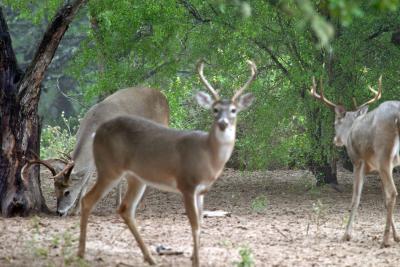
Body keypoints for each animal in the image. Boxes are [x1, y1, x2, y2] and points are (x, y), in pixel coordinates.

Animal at [22, 87, 169, 217]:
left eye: (67, 192)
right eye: (55, 190)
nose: (59, 212)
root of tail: (163, 97)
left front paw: (117, 204)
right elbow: (86, 181)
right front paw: (77, 210)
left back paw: (141, 203)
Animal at [76, 59, 256, 266]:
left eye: (234, 110)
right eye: (215, 109)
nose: (223, 123)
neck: (208, 154)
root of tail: (97, 132)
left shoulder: (202, 190)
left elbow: (201, 223)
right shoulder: (186, 184)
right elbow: (194, 224)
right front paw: (195, 261)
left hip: (136, 177)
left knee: (125, 209)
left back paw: (150, 258)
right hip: (109, 168)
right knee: (88, 199)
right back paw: (81, 253)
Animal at [310, 76, 400, 248]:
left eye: (335, 123)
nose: (335, 140)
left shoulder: (358, 161)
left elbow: (355, 198)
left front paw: (346, 234)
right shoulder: (382, 168)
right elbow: (384, 200)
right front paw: (397, 236)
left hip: (383, 152)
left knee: (393, 192)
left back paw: (384, 240)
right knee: (391, 194)